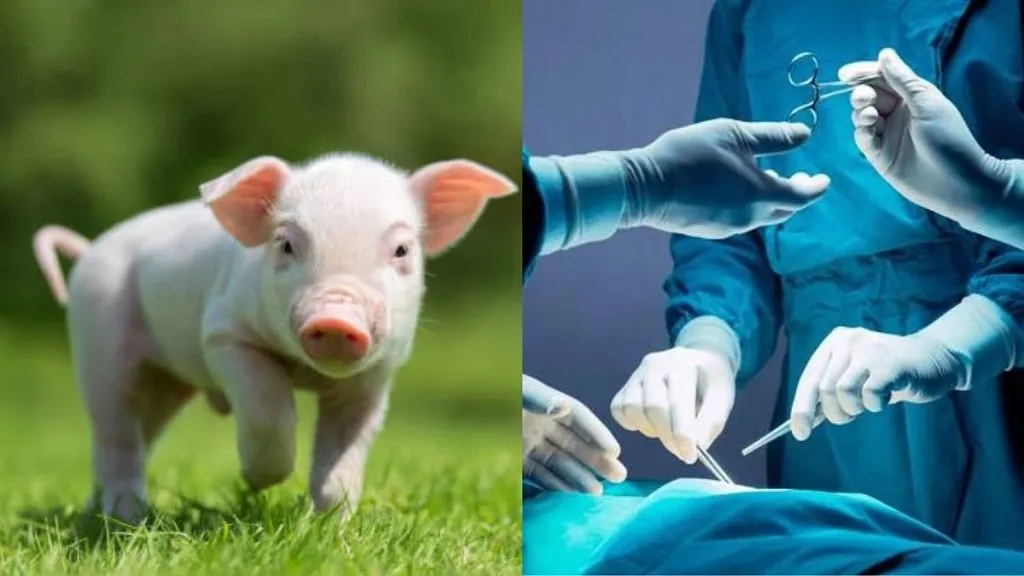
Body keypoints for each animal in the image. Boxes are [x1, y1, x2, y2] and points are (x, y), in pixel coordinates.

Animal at [31, 153, 517, 524]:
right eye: (285, 245)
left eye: (402, 250)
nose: (337, 317)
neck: (305, 372)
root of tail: (90, 248)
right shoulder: (224, 335)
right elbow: (270, 409)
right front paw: (257, 482)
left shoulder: (376, 374)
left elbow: (346, 449)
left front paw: (332, 524)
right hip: (99, 342)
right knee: (114, 432)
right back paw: (123, 517)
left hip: (164, 384)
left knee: (138, 433)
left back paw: (99, 511)